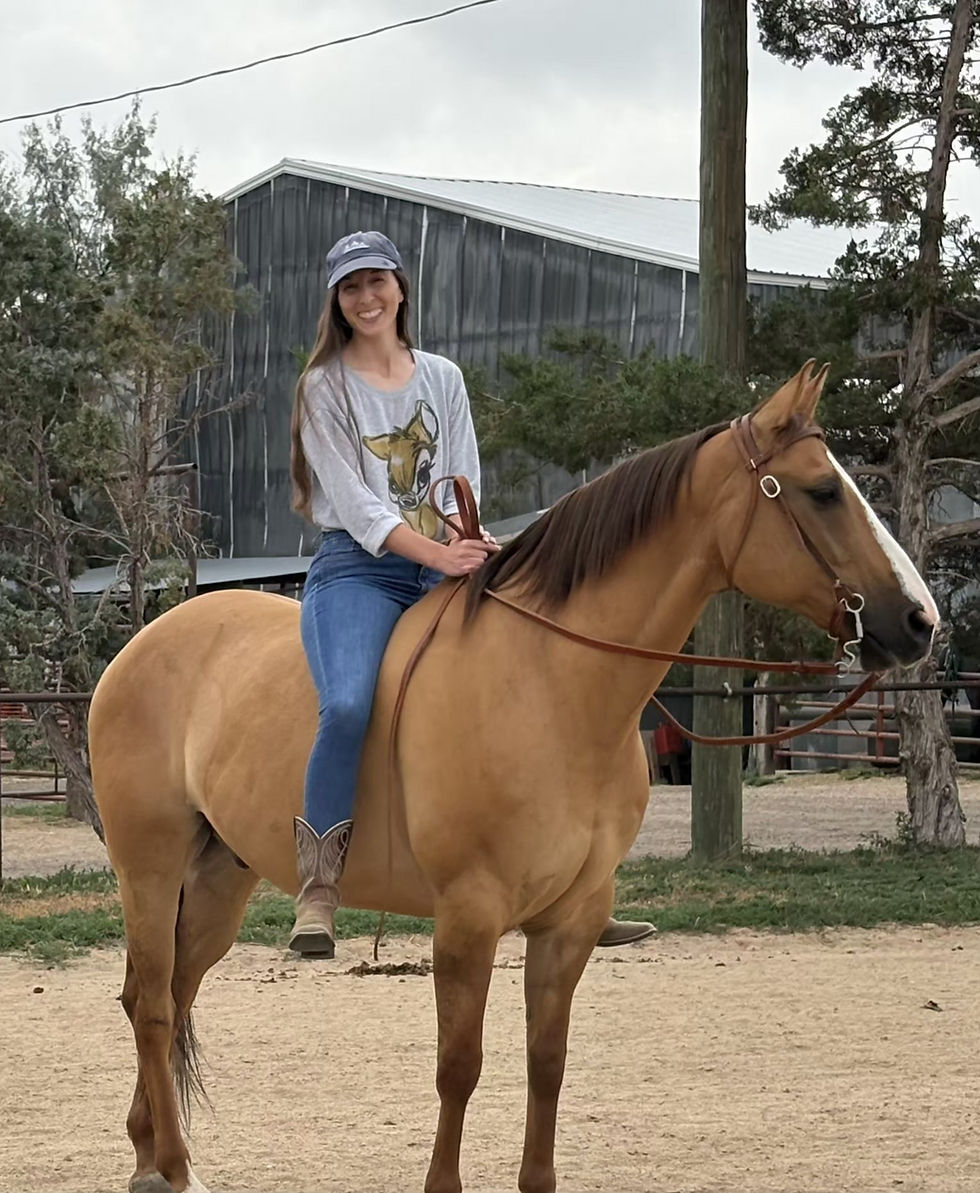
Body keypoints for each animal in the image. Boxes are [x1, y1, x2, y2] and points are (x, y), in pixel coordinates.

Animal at [88, 362, 937, 1193]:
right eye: (822, 491)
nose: (920, 621)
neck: (551, 681)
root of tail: (138, 648)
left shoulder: (570, 921)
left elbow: (547, 1064)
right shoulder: (468, 917)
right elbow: (459, 1067)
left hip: (219, 878)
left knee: (163, 995)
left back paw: (144, 1153)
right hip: (151, 868)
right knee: (155, 1005)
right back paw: (174, 1169)